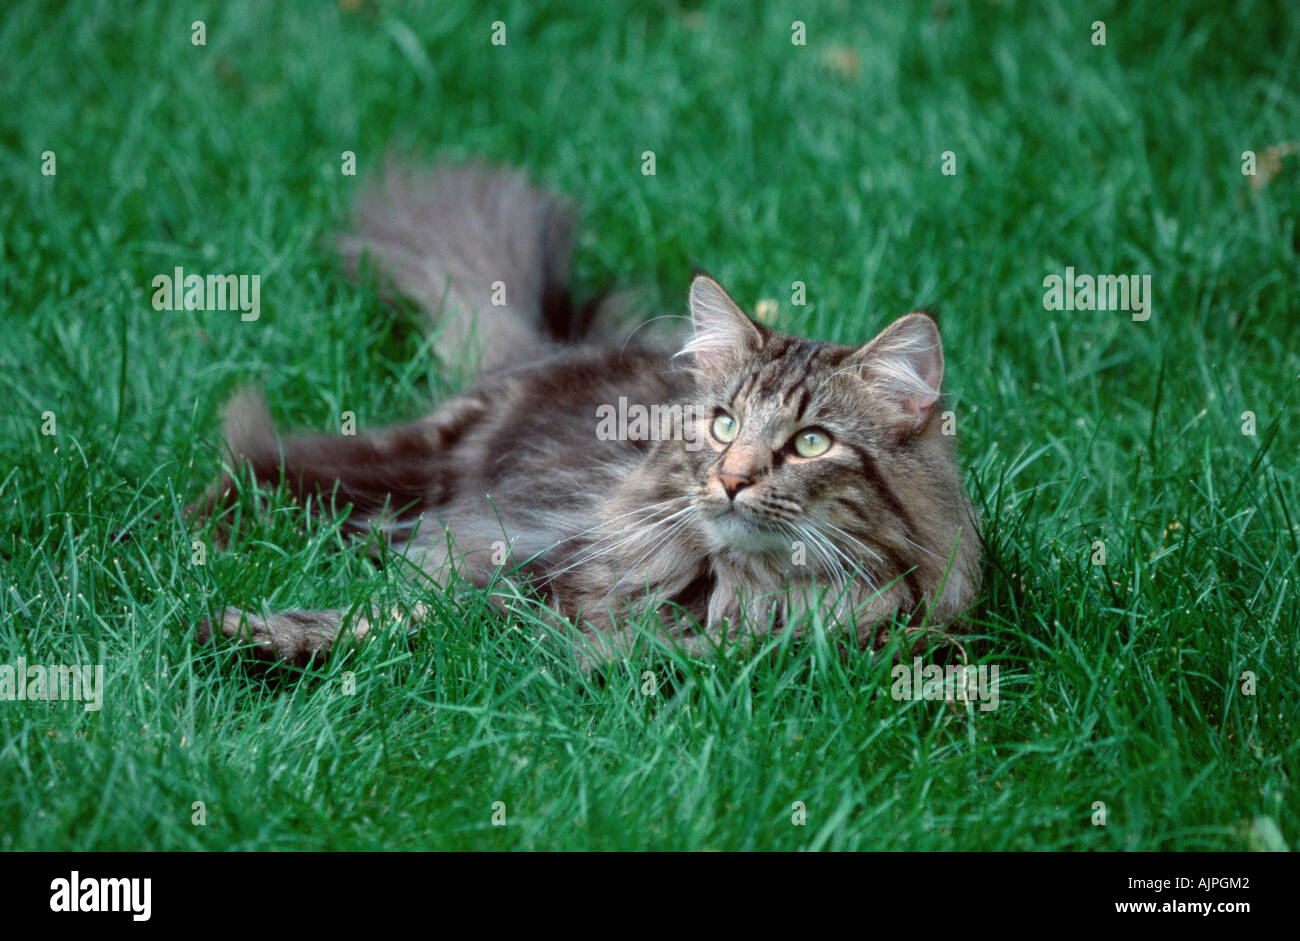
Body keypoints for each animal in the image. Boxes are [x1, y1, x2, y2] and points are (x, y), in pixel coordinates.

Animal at [195, 161, 977, 665]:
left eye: (812, 443)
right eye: (723, 424)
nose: (732, 481)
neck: (740, 592)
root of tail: (550, 347)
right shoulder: (529, 575)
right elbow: (402, 615)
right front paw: (249, 631)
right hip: (400, 467)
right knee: (256, 466)